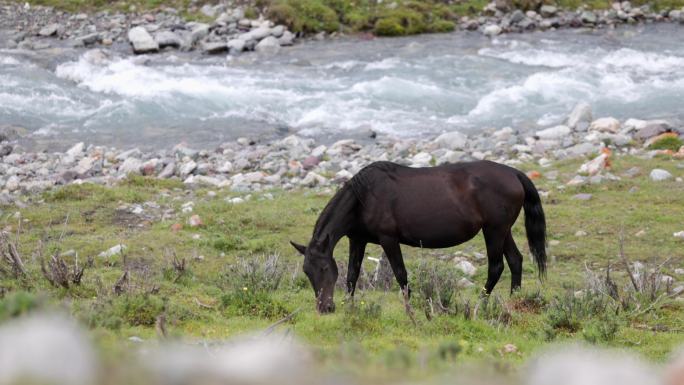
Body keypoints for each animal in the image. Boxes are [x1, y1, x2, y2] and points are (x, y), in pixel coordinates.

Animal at [292, 159, 548, 312]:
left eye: (324, 268)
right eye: (307, 272)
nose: (325, 308)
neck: (363, 198)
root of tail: (514, 174)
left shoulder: (388, 239)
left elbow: (400, 274)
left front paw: (410, 308)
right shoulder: (358, 240)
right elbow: (352, 276)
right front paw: (350, 306)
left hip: (494, 231)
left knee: (496, 267)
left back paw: (481, 305)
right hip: (502, 231)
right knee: (515, 260)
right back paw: (513, 300)